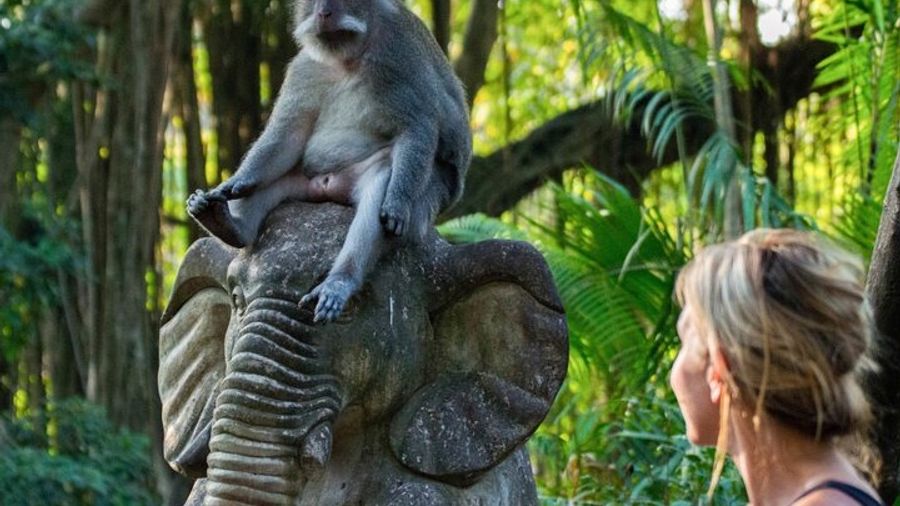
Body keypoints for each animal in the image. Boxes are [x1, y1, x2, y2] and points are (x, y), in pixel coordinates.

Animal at [187, 0, 472, 323]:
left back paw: (340, 281)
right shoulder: (305, 68)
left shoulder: (398, 57)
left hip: (427, 191)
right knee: (275, 178)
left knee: (383, 180)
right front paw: (237, 182)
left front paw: (397, 201)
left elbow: (416, 128)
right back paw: (229, 225)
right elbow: (288, 136)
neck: (346, 59)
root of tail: (330, 188)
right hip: (305, 183)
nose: (324, 13)